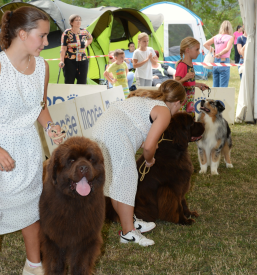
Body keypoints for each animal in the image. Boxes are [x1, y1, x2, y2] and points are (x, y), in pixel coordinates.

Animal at [40, 137, 104, 275]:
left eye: (91, 159)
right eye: (71, 160)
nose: (84, 167)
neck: (75, 203)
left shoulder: (85, 240)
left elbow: (80, 265)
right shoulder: (53, 238)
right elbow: (55, 264)